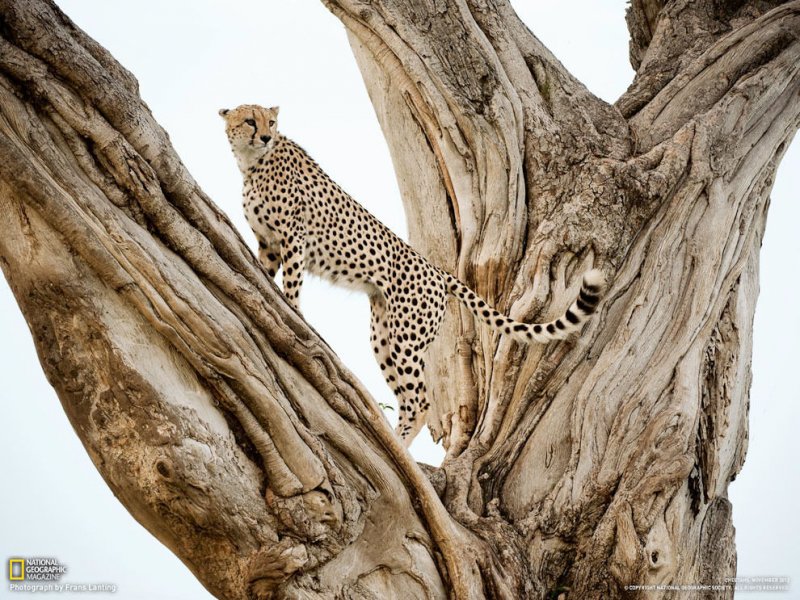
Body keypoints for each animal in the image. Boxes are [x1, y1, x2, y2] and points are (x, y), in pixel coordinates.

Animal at [220, 105, 608, 448]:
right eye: (250, 121)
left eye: (270, 121)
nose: (266, 136)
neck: (252, 164)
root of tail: (439, 270)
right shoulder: (269, 244)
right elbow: (265, 269)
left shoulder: (294, 239)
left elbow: (292, 284)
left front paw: (292, 311)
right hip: (384, 334)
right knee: (407, 398)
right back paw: (396, 441)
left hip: (407, 337)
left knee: (420, 400)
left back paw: (401, 448)